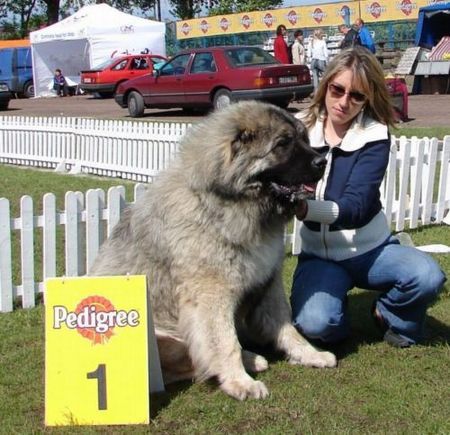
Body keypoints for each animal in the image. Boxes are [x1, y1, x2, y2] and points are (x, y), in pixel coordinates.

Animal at [91, 100, 336, 400]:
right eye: (282, 144)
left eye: (304, 140)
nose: (322, 162)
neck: (227, 202)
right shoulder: (211, 294)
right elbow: (224, 341)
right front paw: (240, 382)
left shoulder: (268, 282)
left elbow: (285, 326)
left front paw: (310, 354)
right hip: (162, 340)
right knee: (190, 362)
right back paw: (245, 361)